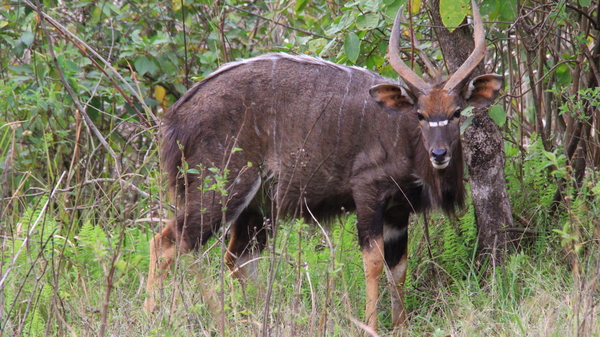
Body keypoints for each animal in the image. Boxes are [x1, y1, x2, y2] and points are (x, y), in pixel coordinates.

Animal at [145, 0, 502, 330]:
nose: (439, 154)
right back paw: (158, 317)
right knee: (167, 242)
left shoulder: (399, 210)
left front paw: (401, 327)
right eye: (421, 115)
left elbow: (398, 267)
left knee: (237, 258)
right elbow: (373, 261)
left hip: (258, 208)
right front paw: (370, 326)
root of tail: (176, 117)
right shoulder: (368, 192)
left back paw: (252, 319)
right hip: (222, 187)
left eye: (457, 112)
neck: (407, 140)